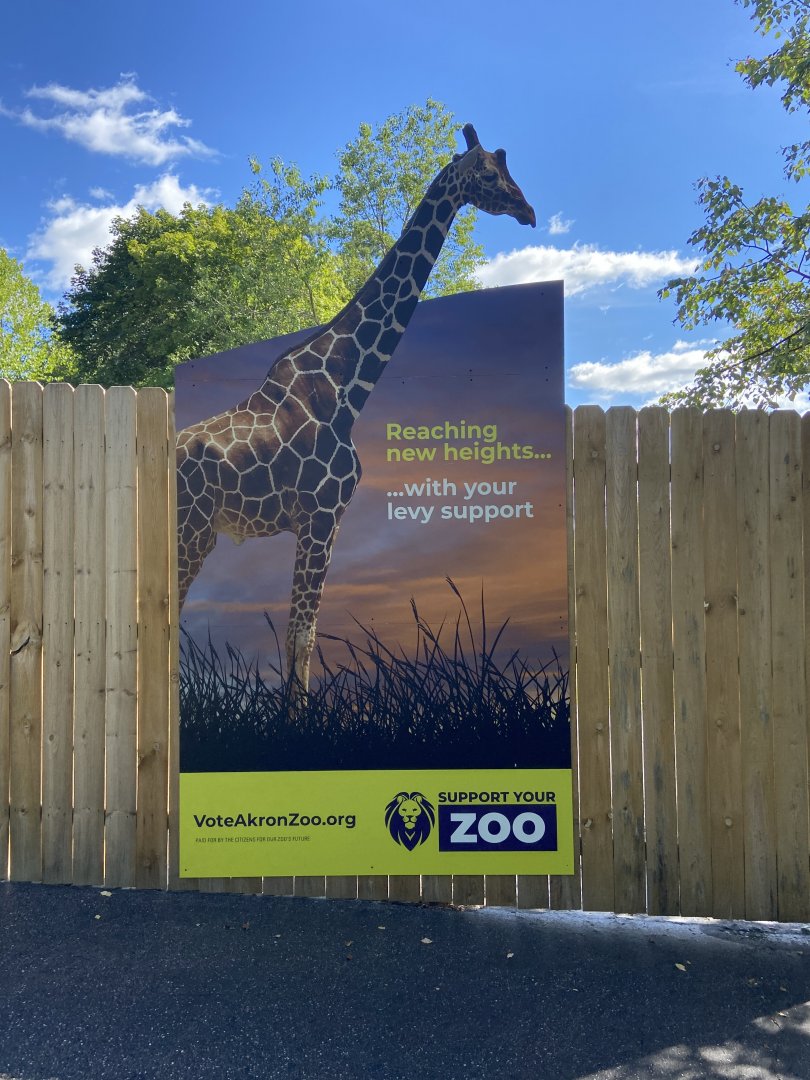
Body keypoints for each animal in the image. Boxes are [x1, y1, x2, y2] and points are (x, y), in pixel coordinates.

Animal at [176, 124, 536, 696]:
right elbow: (301, 635)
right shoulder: (320, 516)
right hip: (191, 531)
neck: (347, 388)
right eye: (487, 171)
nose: (529, 210)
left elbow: (301, 634)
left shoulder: (327, 523)